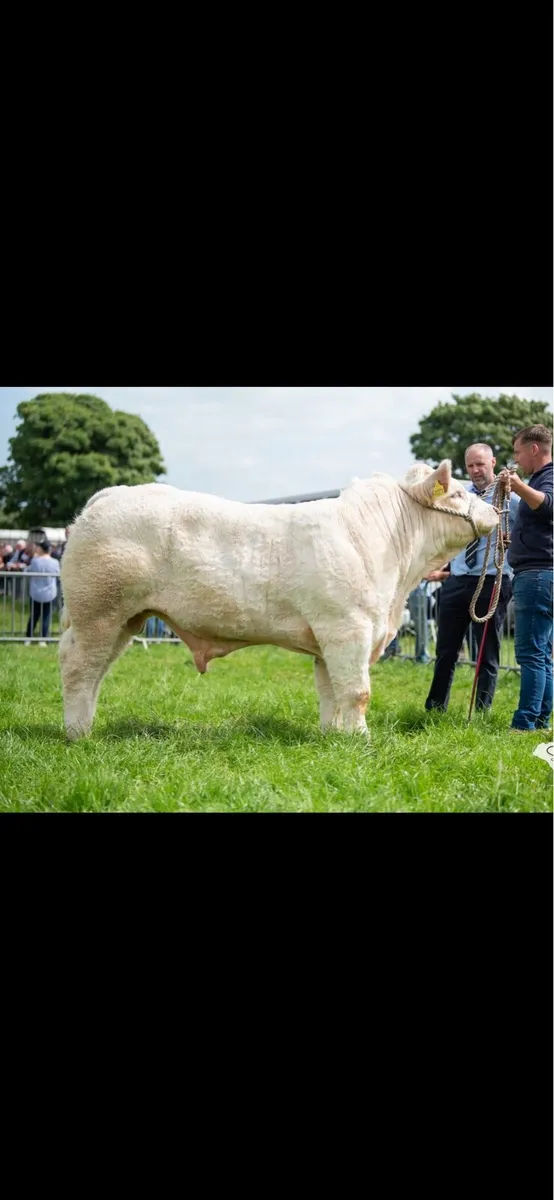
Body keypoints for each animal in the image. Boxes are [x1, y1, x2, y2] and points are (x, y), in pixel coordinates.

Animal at [59, 460, 498, 740]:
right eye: (456, 494)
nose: (495, 510)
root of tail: (109, 497)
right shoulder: (349, 628)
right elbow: (357, 692)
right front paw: (362, 738)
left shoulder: (330, 636)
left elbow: (331, 691)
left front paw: (334, 736)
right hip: (98, 612)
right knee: (79, 669)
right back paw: (78, 733)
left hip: (125, 619)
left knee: (96, 672)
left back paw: (87, 725)